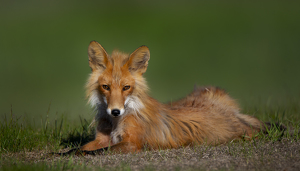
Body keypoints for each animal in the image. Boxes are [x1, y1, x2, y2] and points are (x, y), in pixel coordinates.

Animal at [61, 41, 268, 155]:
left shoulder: (133, 143)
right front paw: (62, 154)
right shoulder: (101, 139)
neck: (115, 123)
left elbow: (97, 152)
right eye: (106, 87)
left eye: (126, 88)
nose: (115, 111)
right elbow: (78, 149)